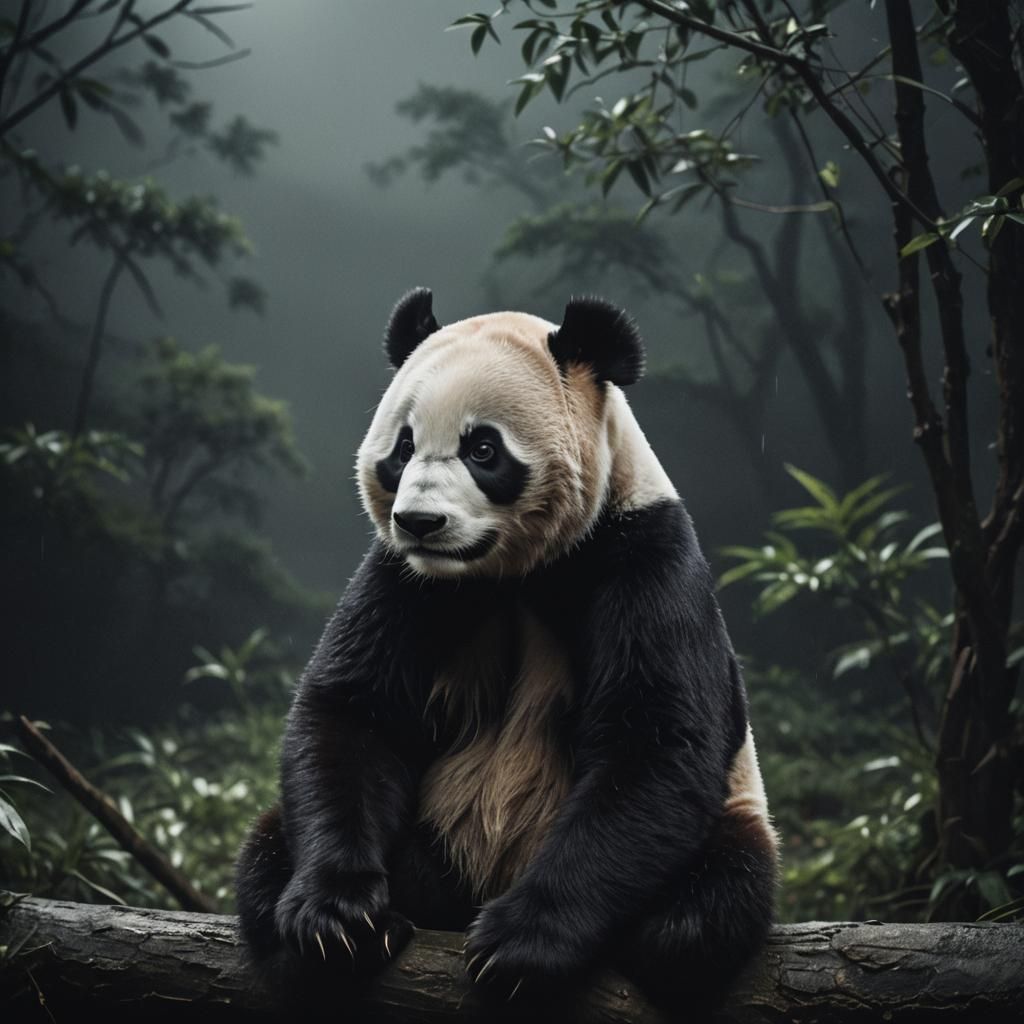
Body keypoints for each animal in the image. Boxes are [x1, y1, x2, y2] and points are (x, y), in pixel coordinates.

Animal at [236, 288, 778, 1012]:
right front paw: (338, 919)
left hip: (736, 814)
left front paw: (521, 944)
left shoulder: (644, 557)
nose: (420, 522)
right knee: (266, 852)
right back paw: (371, 926)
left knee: (715, 897)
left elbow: (654, 741)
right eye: (403, 447)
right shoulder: (403, 579)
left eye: (483, 448)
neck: (507, 571)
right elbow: (353, 711)